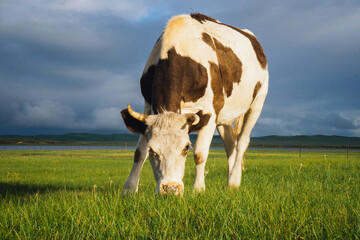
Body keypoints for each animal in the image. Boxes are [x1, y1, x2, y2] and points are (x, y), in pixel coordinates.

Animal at [121, 13, 268, 195]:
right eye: (152, 150)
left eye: (186, 148)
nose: (171, 188)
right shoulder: (148, 107)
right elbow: (139, 152)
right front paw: (129, 189)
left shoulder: (210, 111)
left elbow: (200, 153)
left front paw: (198, 189)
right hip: (224, 114)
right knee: (230, 144)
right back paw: (231, 183)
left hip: (257, 102)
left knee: (242, 142)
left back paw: (234, 181)